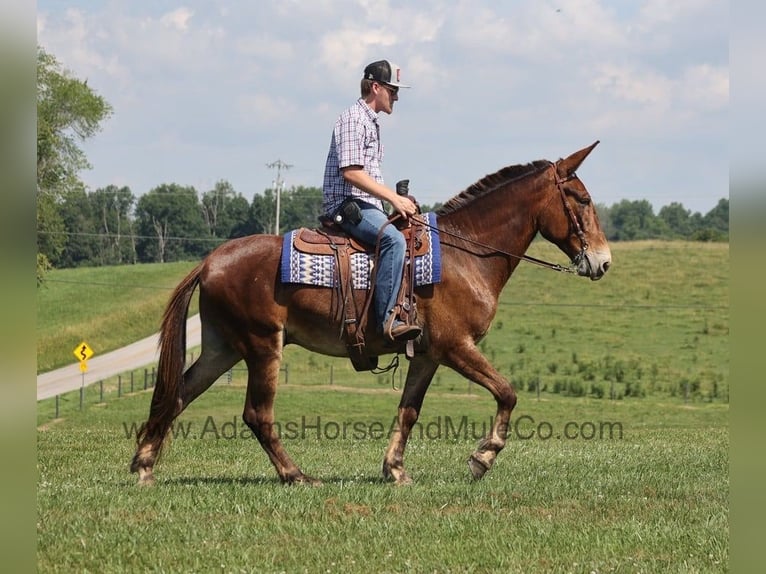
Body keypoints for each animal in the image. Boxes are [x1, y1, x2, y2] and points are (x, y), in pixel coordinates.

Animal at [130, 141, 612, 486]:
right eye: (581, 199)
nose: (603, 261)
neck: (464, 254)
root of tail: (210, 261)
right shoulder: (457, 347)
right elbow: (507, 393)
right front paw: (482, 457)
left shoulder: (429, 355)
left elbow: (409, 411)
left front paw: (395, 469)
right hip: (263, 346)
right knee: (256, 415)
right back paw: (296, 475)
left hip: (222, 348)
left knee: (177, 394)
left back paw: (144, 466)